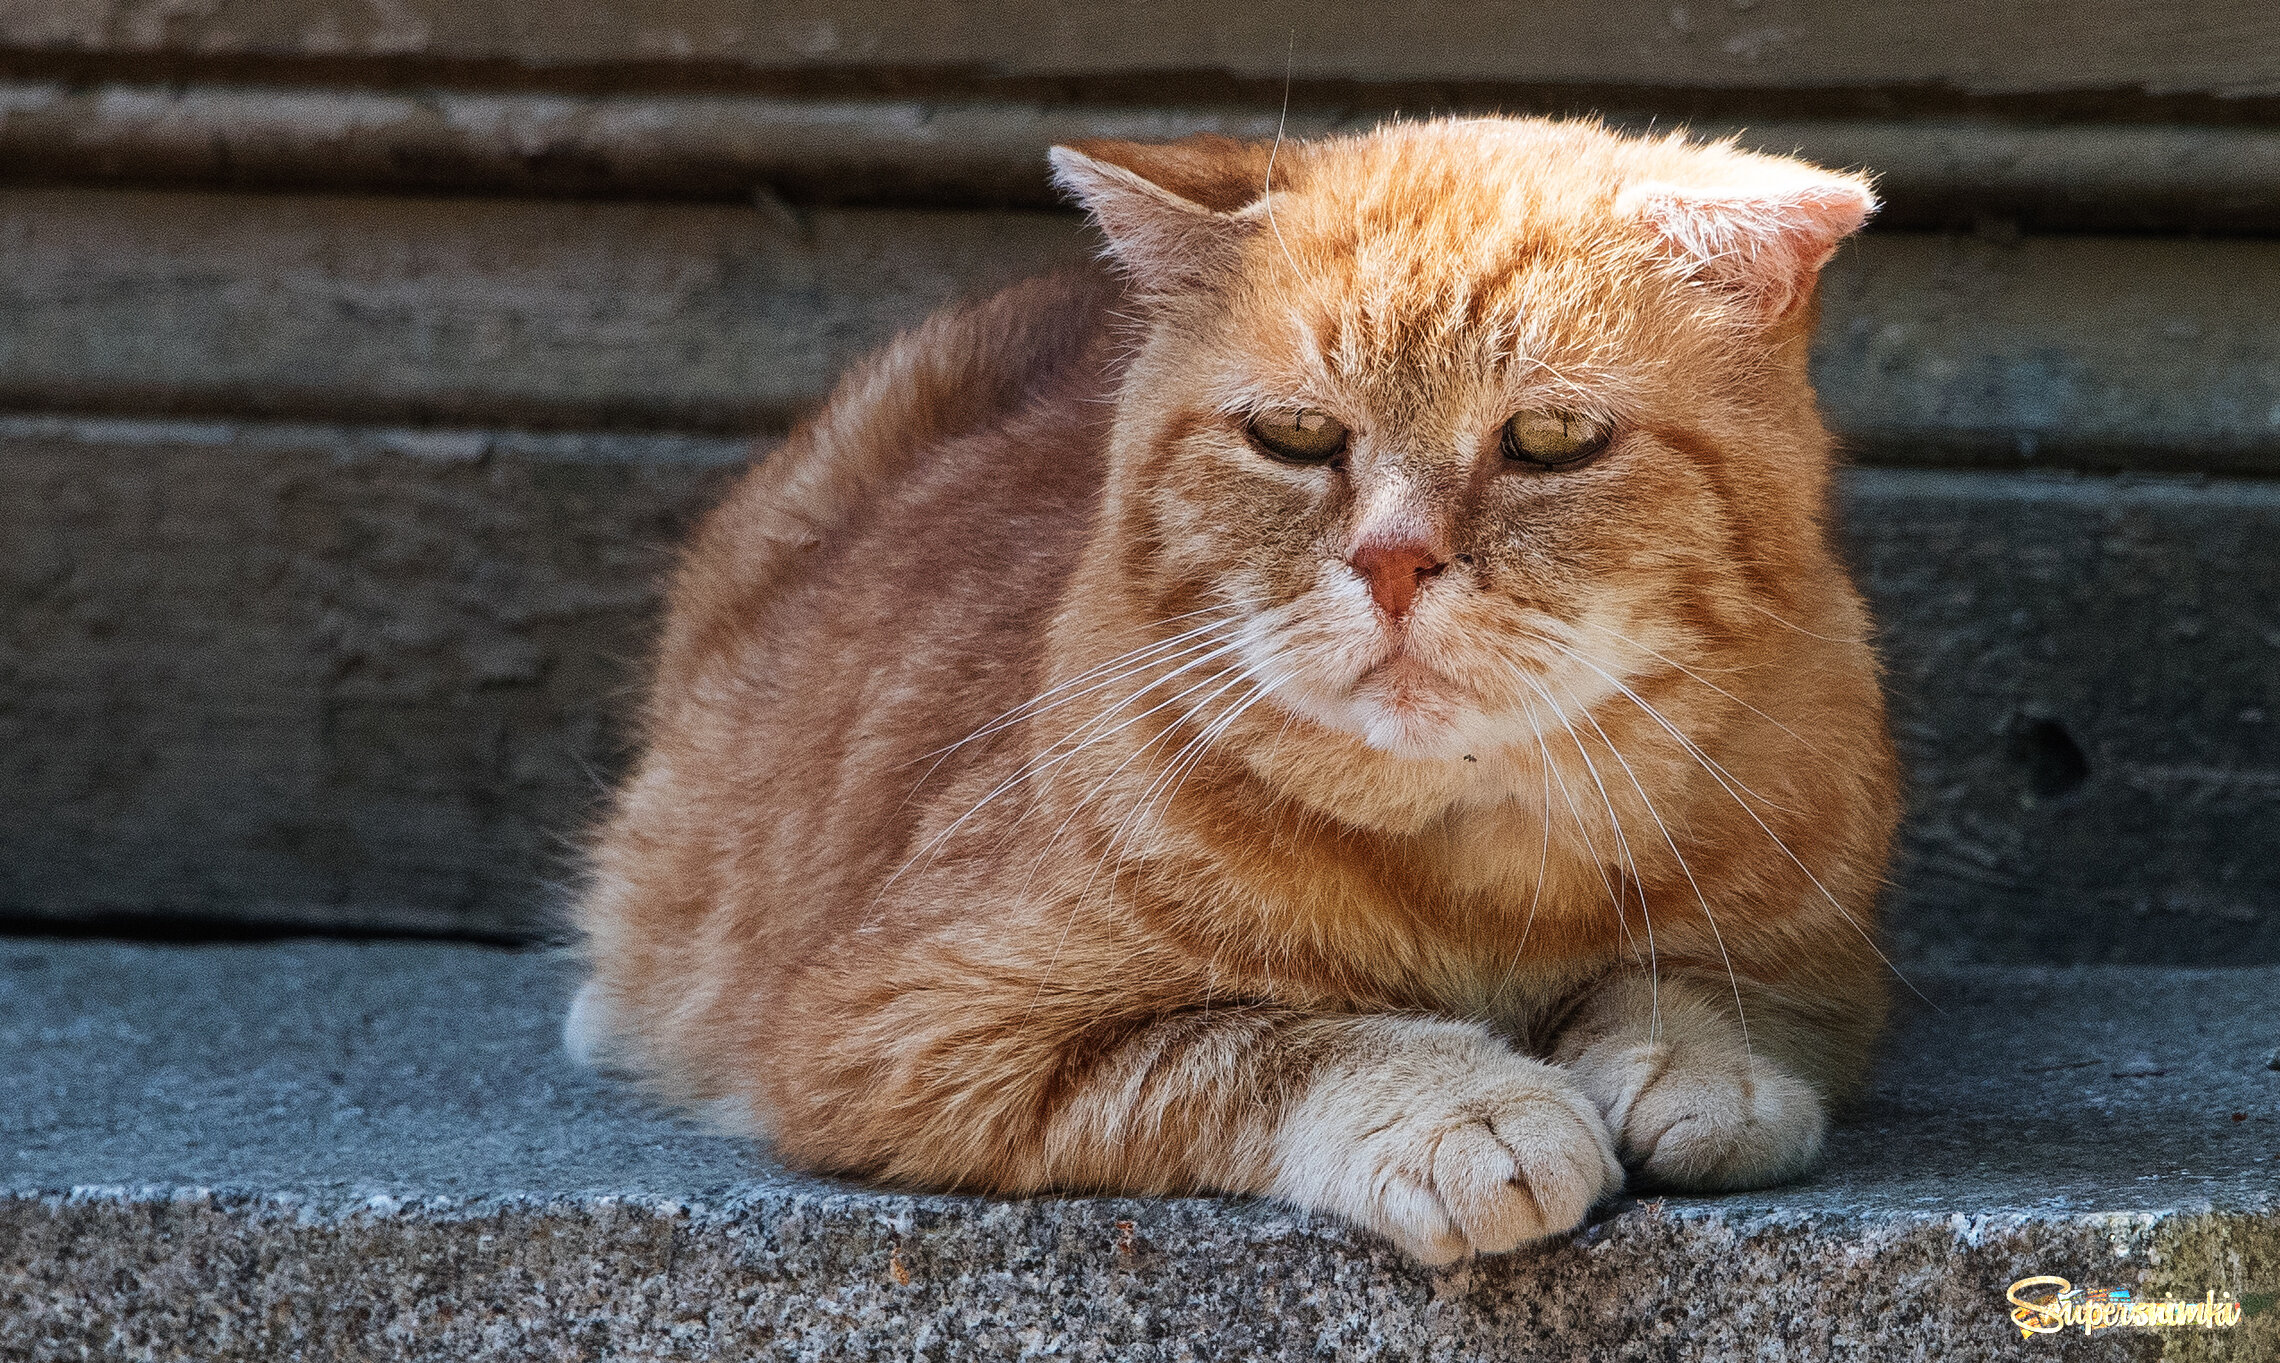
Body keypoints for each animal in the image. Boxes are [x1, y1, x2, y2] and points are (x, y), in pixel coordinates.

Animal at [574, 120, 1906, 1267]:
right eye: (1298, 435)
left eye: (1553, 437)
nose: (1393, 560)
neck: (1464, 878)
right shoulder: (904, 1029)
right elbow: (1265, 1039)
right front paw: (1461, 1106)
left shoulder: (1826, 955)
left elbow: (1704, 986)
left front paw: (1705, 1068)